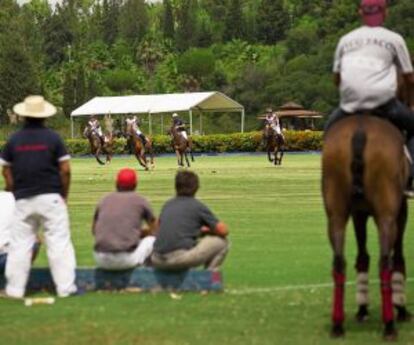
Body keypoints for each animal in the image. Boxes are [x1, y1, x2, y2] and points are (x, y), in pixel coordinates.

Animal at [324, 114, 410, 338]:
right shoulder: (400, 209)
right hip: (386, 213)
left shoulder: (358, 213)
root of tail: (360, 130)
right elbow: (398, 257)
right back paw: (389, 325)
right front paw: (401, 308)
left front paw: (362, 309)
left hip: (336, 212)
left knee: (339, 262)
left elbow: (362, 257)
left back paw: (338, 324)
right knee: (385, 262)